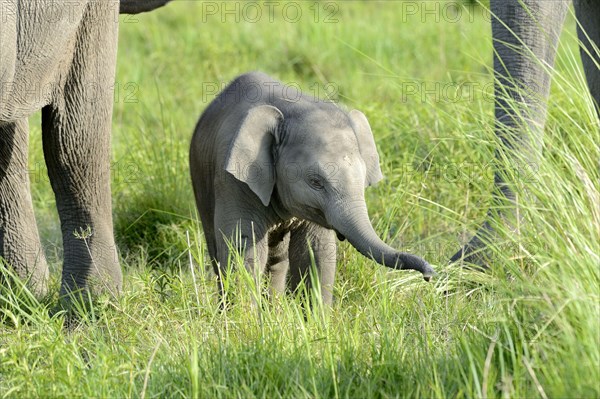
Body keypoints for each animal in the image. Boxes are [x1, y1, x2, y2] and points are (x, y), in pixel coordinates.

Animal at [189, 72, 432, 304]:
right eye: (316, 182)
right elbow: (243, 250)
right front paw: (245, 316)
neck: (292, 108)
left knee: (277, 260)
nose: (429, 273)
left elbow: (315, 252)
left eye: (362, 179)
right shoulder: (235, 182)